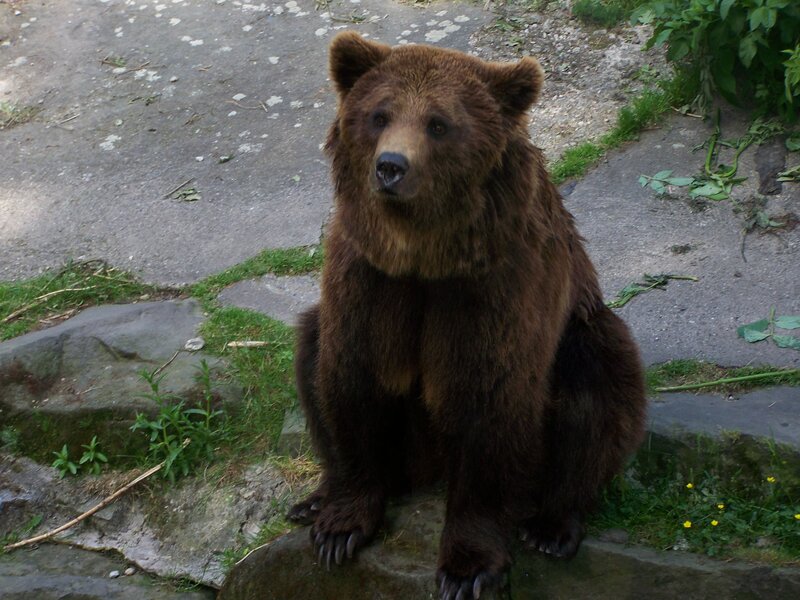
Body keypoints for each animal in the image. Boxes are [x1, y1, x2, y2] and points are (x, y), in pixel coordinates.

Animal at [287, 31, 647, 600]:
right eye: (379, 115)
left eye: (438, 123)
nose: (391, 166)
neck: (424, 256)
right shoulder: (368, 275)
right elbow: (351, 377)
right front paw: (339, 530)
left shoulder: (493, 285)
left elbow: (488, 399)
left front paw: (467, 568)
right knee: (309, 344)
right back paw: (314, 499)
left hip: (581, 329)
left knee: (598, 386)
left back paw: (553, 525)